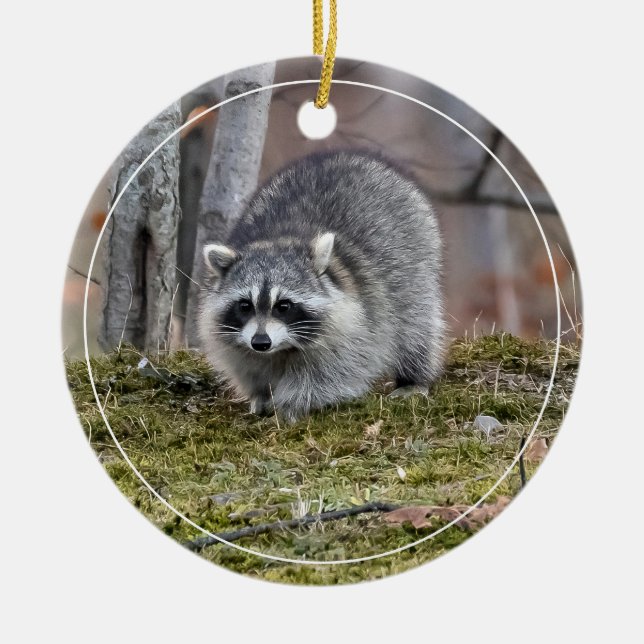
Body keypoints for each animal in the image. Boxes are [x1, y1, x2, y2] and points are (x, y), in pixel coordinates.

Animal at [198, 150, 446, 422]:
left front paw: (291, 404)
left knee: (414, 325)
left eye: (283, 306)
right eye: (245, 305)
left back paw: (414, 376)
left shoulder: (355, 326)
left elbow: (336, 373)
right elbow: (249, 367)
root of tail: (346, 154)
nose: (261, 342)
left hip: (416, 260)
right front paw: (261, 395)